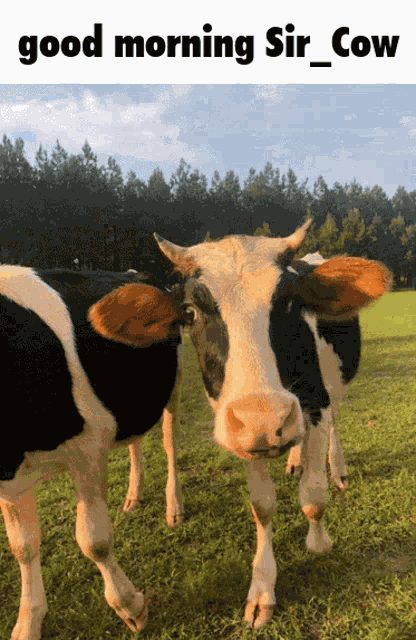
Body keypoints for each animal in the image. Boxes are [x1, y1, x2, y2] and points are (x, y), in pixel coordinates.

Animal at [0, 267, 184, 639]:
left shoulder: (87, 449)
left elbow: (93, 540)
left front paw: (130, 606)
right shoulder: (9, 476)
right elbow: (23, 546)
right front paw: (28, 622)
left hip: (174, 383)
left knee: (170, 441)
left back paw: (173, 506)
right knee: (135, 442)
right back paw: (133, 496)